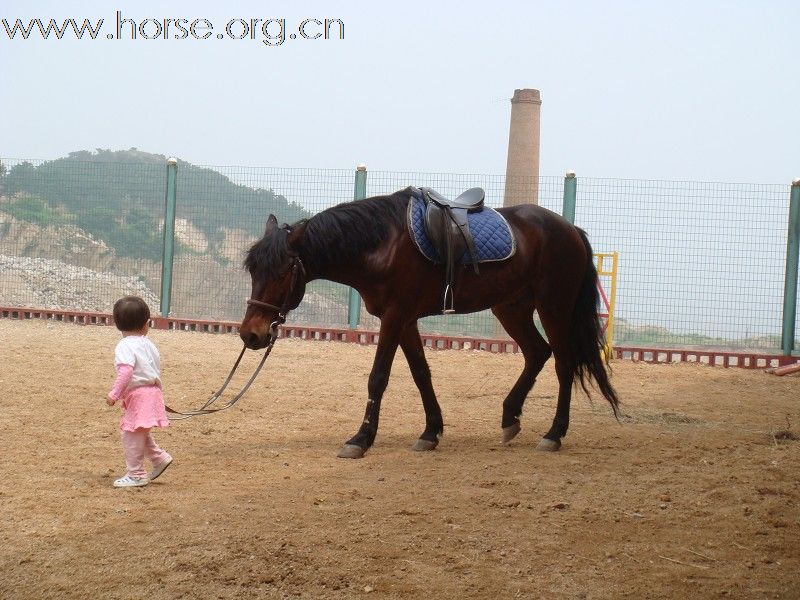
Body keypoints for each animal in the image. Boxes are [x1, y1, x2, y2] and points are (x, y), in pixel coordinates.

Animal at [238, 188, 620, 460]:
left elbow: (378, 377)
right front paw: (430, 432)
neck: (383, 242)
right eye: (253, 270)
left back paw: (554, 434)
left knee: (563, 362)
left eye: (283, 272)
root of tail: (570, 228)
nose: (250, 334)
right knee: (537, 353)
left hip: (554, 306)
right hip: (511, 307)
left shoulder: (395, 316)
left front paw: (361, 438)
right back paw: (510, 417)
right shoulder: (404, 319)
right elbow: (421, 373)